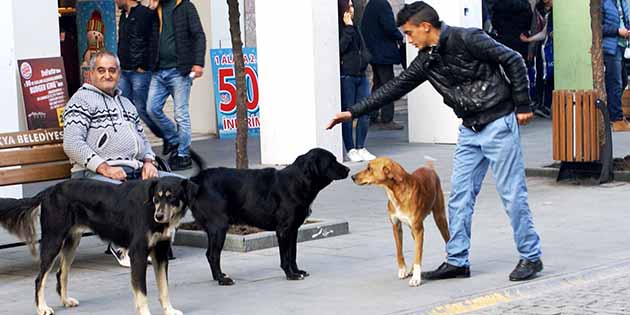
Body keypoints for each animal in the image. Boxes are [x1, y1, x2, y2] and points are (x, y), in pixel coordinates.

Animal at [0, 178, 198, 315]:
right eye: (157, 198)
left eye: (172, 198)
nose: (159, 216)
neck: (150, 209)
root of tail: (51, 190)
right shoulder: (138, 254)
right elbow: (142, 292)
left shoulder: (161, 254)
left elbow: (164, 288)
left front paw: (169, 310)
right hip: (53, 240)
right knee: (39, 279)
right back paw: (42, 308)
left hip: (72, 241)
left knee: (61, 273)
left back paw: (65, 300)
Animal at [190, 148, 354, 286]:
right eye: (332, 161)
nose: (348, 169)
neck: (298, 181)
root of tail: (197, 179)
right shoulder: (283, 230)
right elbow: (285, 257)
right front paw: (291, 275)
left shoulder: (293, 230)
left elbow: (293, 254)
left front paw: (297, 271)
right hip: (219, 227)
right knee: (212, 255)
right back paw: (222, 279)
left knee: (210, 255)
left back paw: (218, 277)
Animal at [354, 157, 452, 286]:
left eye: (369, 168)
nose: (352, 177)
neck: (395, 193)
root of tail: (430, 169)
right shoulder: (396, 226)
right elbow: (399, 251)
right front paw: (402, 270)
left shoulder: (418, 229)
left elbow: (417, 255)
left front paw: (416, 278)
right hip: (413, 230)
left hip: (439, 218)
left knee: (446, 240)